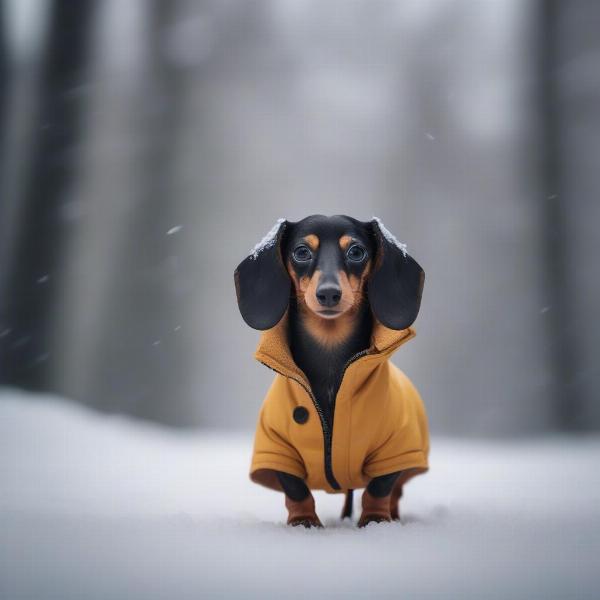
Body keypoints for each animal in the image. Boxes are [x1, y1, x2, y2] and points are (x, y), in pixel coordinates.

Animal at [233, 218, 426, 528]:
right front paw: (304, 523)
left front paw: (374, 520)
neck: (331, 359)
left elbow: (380, 488)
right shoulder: (276, 447)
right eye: (301, 252)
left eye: (356, 252)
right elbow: (296, 490)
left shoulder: (397, 446)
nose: (328, 293)